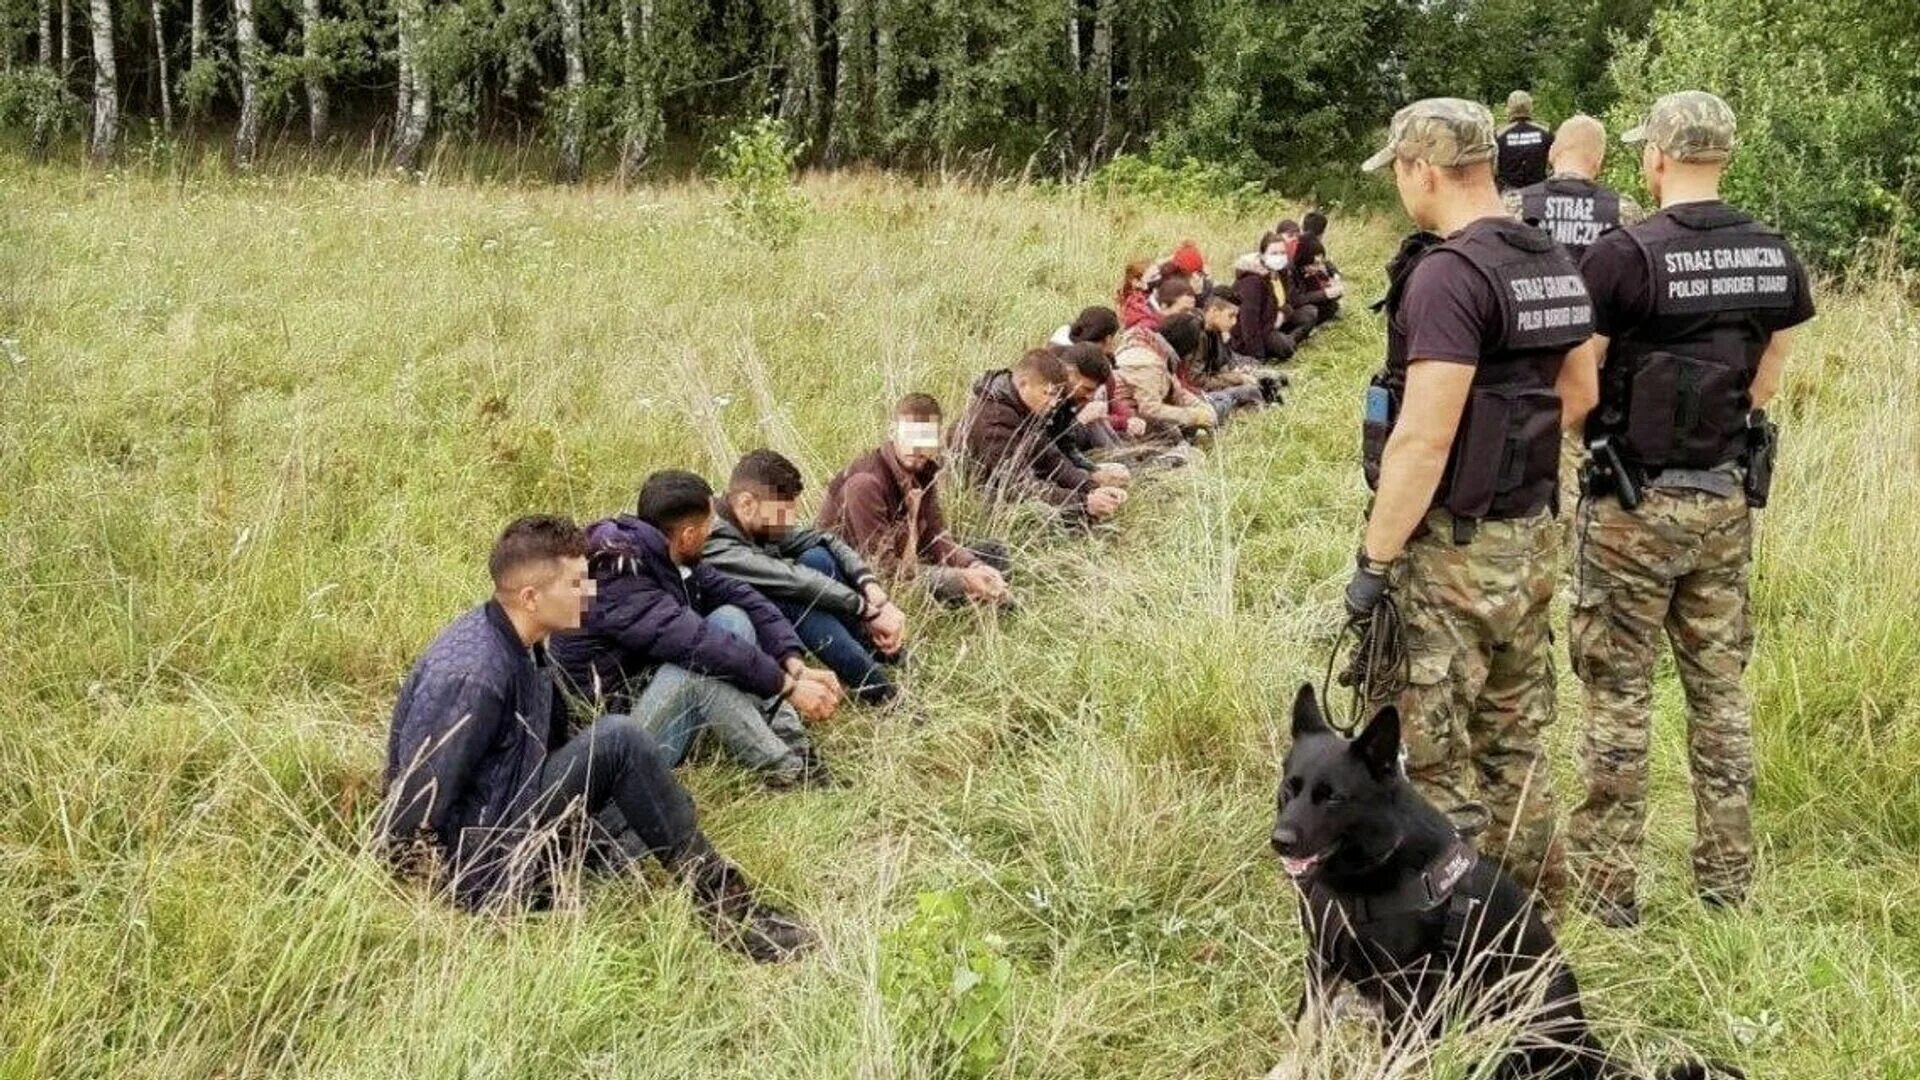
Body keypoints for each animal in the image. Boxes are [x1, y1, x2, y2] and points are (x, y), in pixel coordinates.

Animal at [1274, 684, 1743, 1068]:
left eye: (1332, 798)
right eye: (1289, 789)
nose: (1279, 841)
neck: (1363, 878)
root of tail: (1587, 1045)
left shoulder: (1409, 996)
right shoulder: (1321, 965)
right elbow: (1301, 1037)